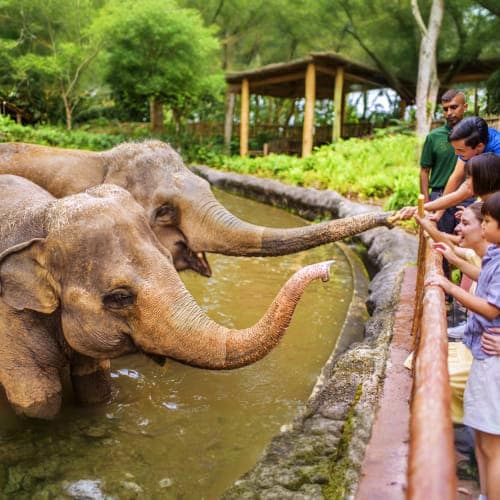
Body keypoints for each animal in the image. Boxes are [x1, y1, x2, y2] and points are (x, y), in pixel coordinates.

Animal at [0, 174, 333, 419]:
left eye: (168, 256)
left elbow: (95, 387)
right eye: (119, 297)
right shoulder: (10, 328)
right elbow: (40, 402)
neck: (43, 219)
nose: (327, 269)